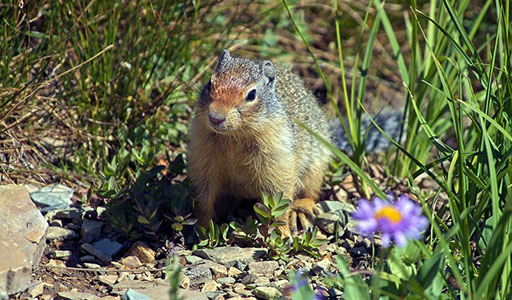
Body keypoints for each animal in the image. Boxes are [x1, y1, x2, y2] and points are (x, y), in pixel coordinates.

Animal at [189, 49, 332, 234]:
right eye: (209, 83)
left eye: (251, 94)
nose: (215, 117)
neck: (234, 137)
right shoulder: (202, 158)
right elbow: (202, 198)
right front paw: (204, 229)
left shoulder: (276, 161)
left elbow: (279, 202)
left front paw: (283, 233)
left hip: (315, 166)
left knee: (310, 192)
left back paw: (301, 211)